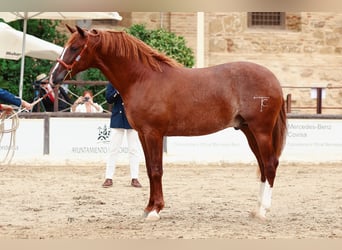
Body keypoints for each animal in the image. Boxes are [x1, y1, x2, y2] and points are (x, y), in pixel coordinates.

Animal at [50, 25, 286, 221]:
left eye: (75, 47)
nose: (53, 78)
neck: (143, 78)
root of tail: (273, 79)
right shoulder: (143, 134)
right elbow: (148, 169)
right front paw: (148, 208)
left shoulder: (154, 133)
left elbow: (156, 169)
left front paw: (155, 210)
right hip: (249, 131)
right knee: (262, 166)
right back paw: (256, 209)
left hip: (261, 131)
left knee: (270, 164)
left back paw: (263, 211)